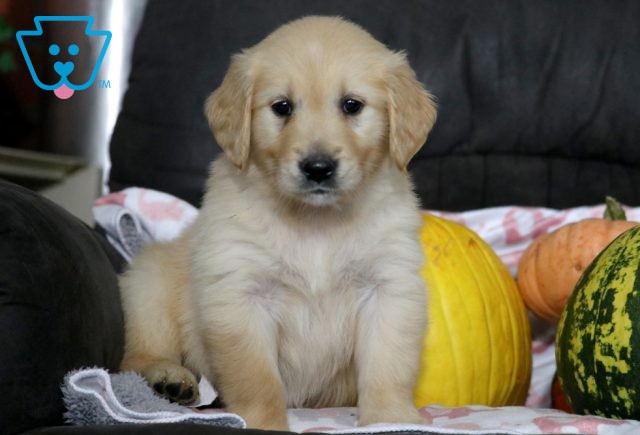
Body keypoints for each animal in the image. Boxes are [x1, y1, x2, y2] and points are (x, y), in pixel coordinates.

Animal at [119, 15, 438, 430]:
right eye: (282, 107)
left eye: (352, 105)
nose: (318, 168)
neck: (316, 221)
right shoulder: (240, 292)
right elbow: (257, 378)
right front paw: (264, 423)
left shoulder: (389, 286)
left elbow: (388, 365)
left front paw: (390, 418)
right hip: (149, 284)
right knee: (136, 356)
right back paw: (168, 378)